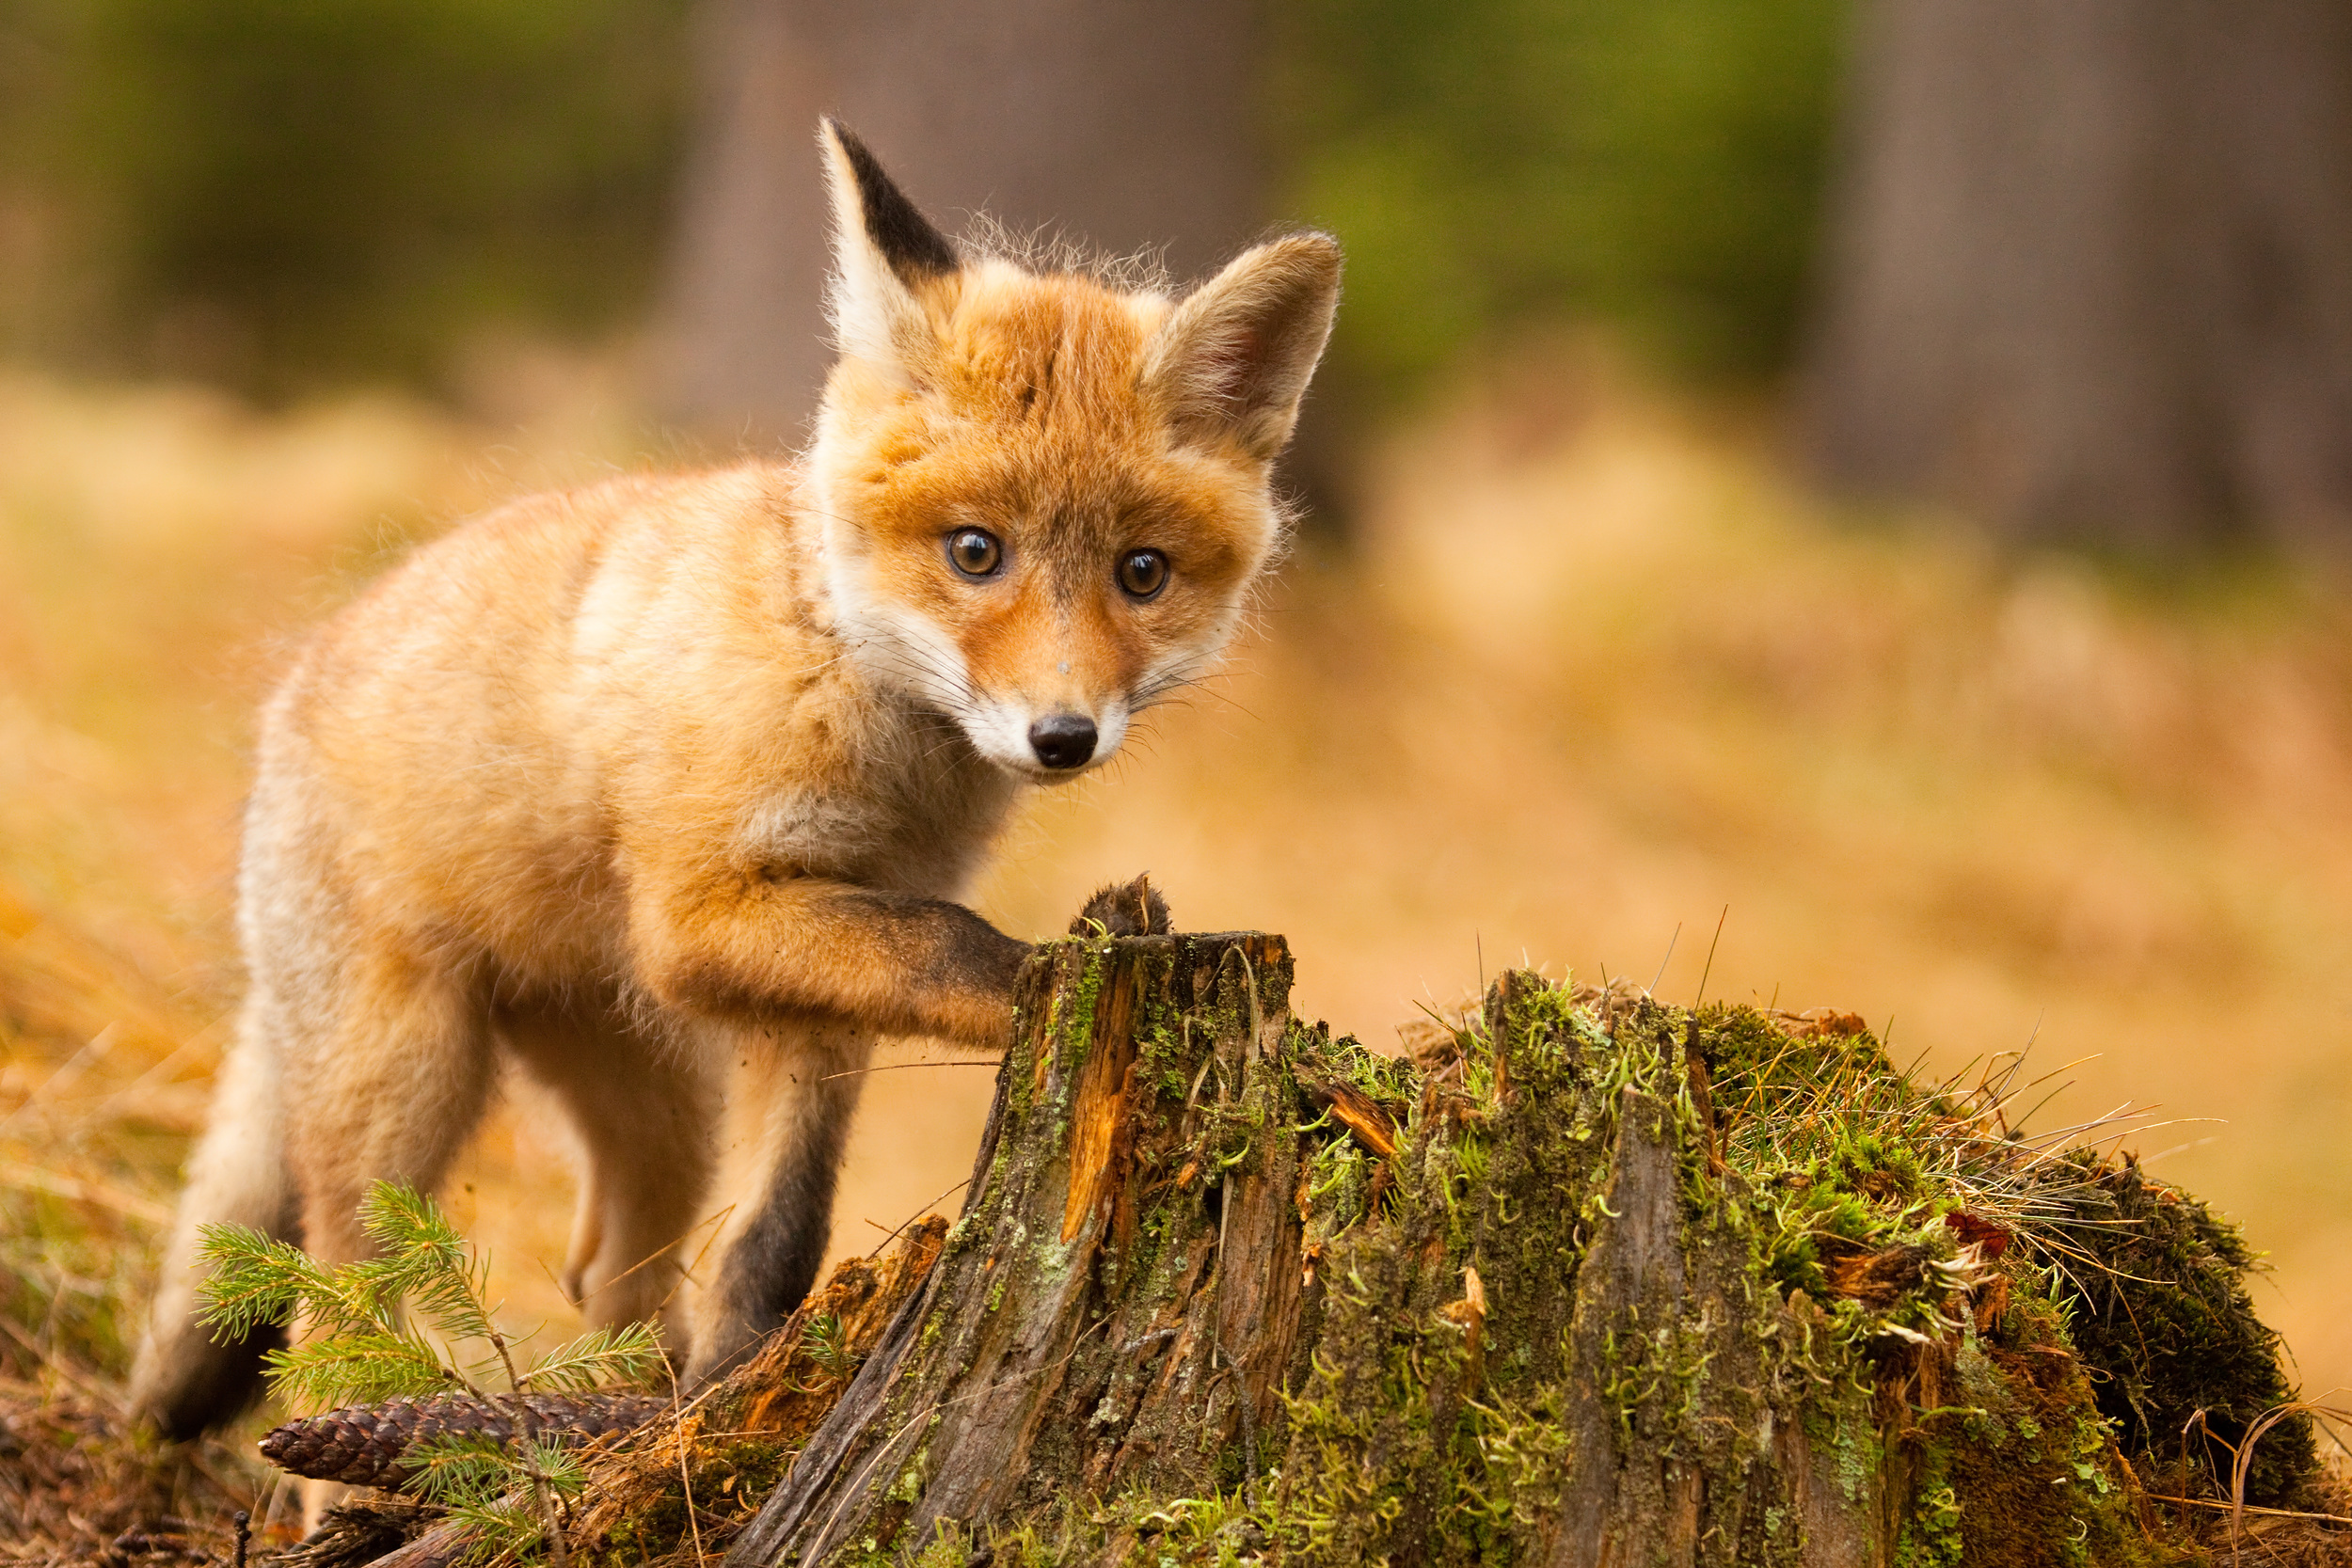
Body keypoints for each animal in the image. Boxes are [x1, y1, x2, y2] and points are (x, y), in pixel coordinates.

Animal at [128, 122, 1345, 1438]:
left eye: (1142, 572)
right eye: (976, 552)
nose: (1062, 735)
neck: (862, 721)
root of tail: (298, 680)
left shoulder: (807, 973)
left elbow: (779, 1230)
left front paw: (737, 1378)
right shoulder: (707, 916)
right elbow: (954, 945)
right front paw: (1051, 988)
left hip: (655, 1103)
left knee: (609, 1267)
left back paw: (636, 1406)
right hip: (405, 1085)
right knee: (332, 1320)